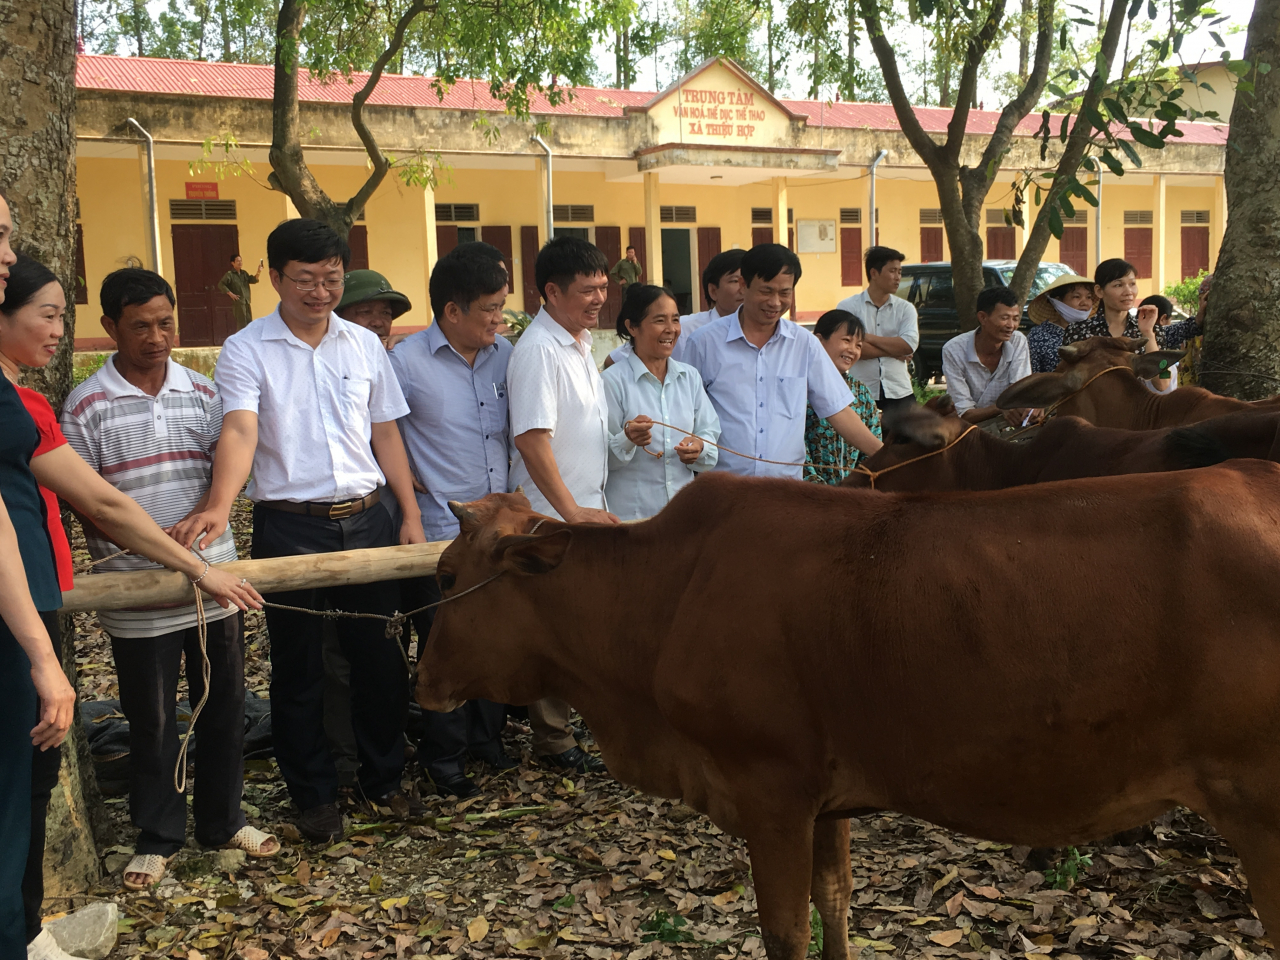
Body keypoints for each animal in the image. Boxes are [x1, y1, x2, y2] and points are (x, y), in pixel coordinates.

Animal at [422, 471, 1280, 960]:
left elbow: (784, 932)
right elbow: (834, 906)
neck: (667, 596)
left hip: (1260, 813)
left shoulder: (769, 789)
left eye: (447, 574)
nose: (423, 679)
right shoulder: (826, 800)